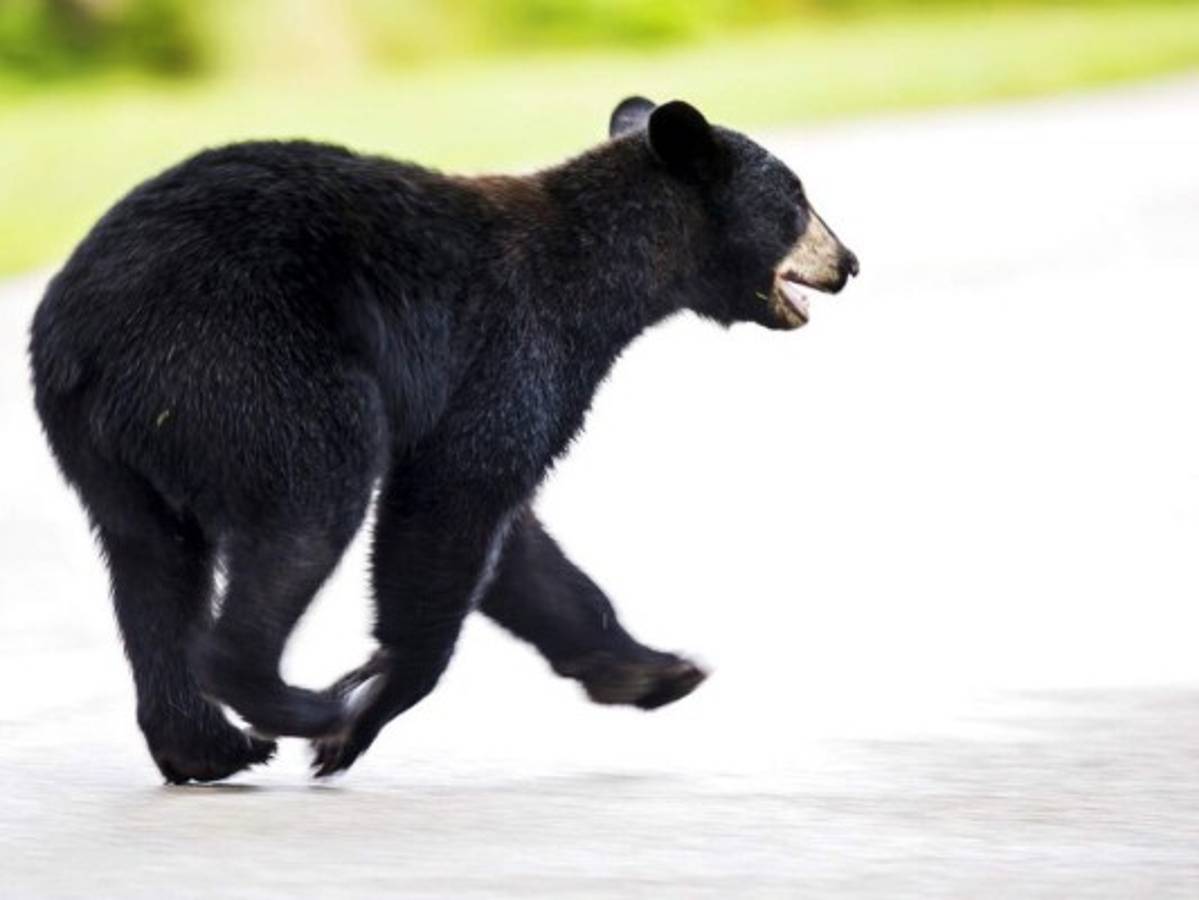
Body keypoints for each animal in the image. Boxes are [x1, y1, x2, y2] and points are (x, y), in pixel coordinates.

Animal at [29, 96, 859, 783]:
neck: (601, 276)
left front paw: (653, 669)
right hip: (245, 366)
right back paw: (302, 705)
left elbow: (519, 547)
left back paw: (205, 747)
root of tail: (79, 329)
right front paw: (363, 716)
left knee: (151, 560)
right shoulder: (515, 347)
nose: (848, 262)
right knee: (309, 504)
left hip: (109, 443)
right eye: (796, 197)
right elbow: (451, 503)